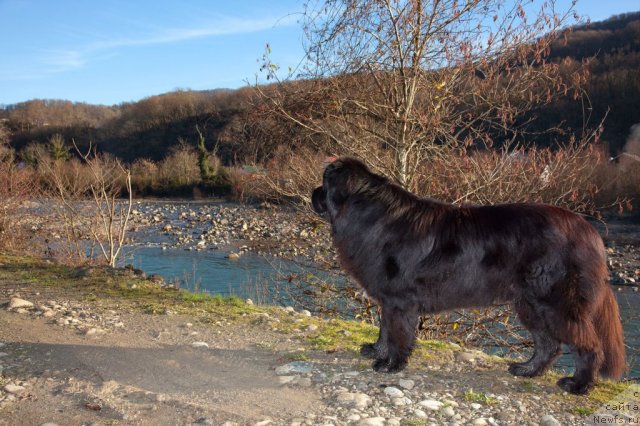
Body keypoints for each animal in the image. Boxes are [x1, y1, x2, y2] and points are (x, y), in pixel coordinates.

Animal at [312, 158, 624, 394]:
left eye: (325, 183)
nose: (313, 193)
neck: (370, 216)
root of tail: (589, 230)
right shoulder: (388, 300)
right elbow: (384, 328)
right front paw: (376, 351)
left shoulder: (399, 301)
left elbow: (397, 334)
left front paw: (390, 365)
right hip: (529, 304)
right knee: (548, 344)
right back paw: (526, 370)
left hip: (555, 303)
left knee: (589, 346)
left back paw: (578, 385)